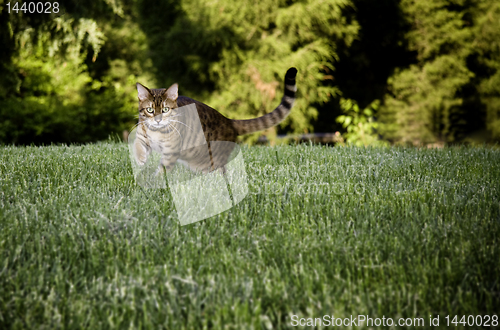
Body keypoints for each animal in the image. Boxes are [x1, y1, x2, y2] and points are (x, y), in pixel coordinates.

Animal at [132, 67, 296, 175]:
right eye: (150, 110)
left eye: (165, 109)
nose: (158, 120)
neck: (157, 131)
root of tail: (228, 121)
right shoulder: (142, 135)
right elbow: (138, 144)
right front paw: (140, 159)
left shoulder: (171, 151)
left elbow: (164, 169)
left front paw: (157, 181)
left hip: (213, 159)